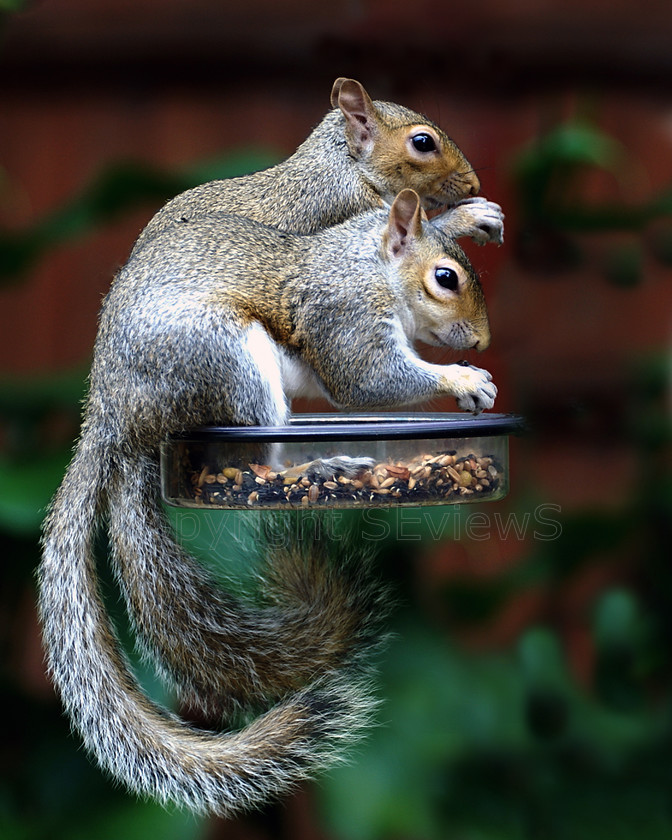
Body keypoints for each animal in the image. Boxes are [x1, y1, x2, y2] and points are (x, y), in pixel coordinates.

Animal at [39, 189, 496, 812]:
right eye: (445, 278)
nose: (480, 343)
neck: (370, 264)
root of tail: (118, 416)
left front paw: (468, 216)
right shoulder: (345, 317)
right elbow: (370, 382)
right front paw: (462, 380)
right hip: (231, 361)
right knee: (266, 458)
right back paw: (321, 465)